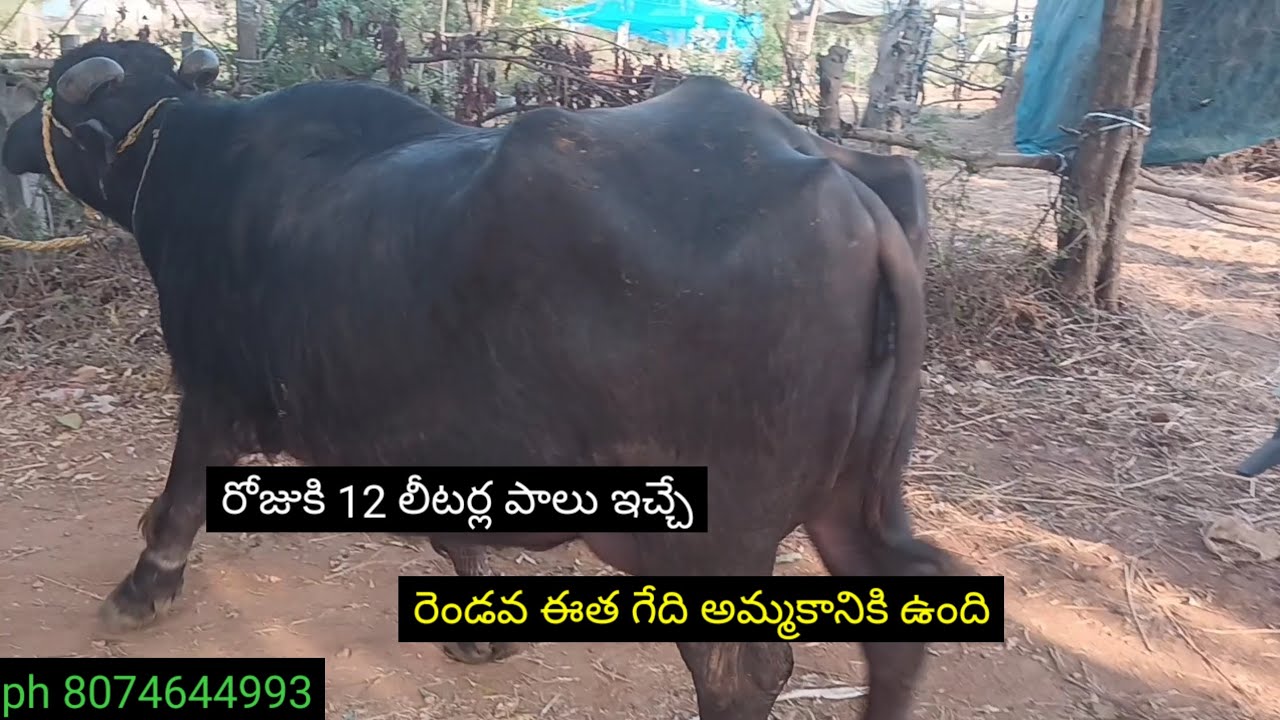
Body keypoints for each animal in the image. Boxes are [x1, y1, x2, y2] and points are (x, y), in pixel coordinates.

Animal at [3, 39, 948, 720]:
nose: (10, 138)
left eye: (49, 96)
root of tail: (846, 188)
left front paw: (141, 588)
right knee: (901, 598)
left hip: (709, 539)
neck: (187, 163)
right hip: (852, 490)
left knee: (739, 670)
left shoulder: (212, 388)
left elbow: (179, 501)